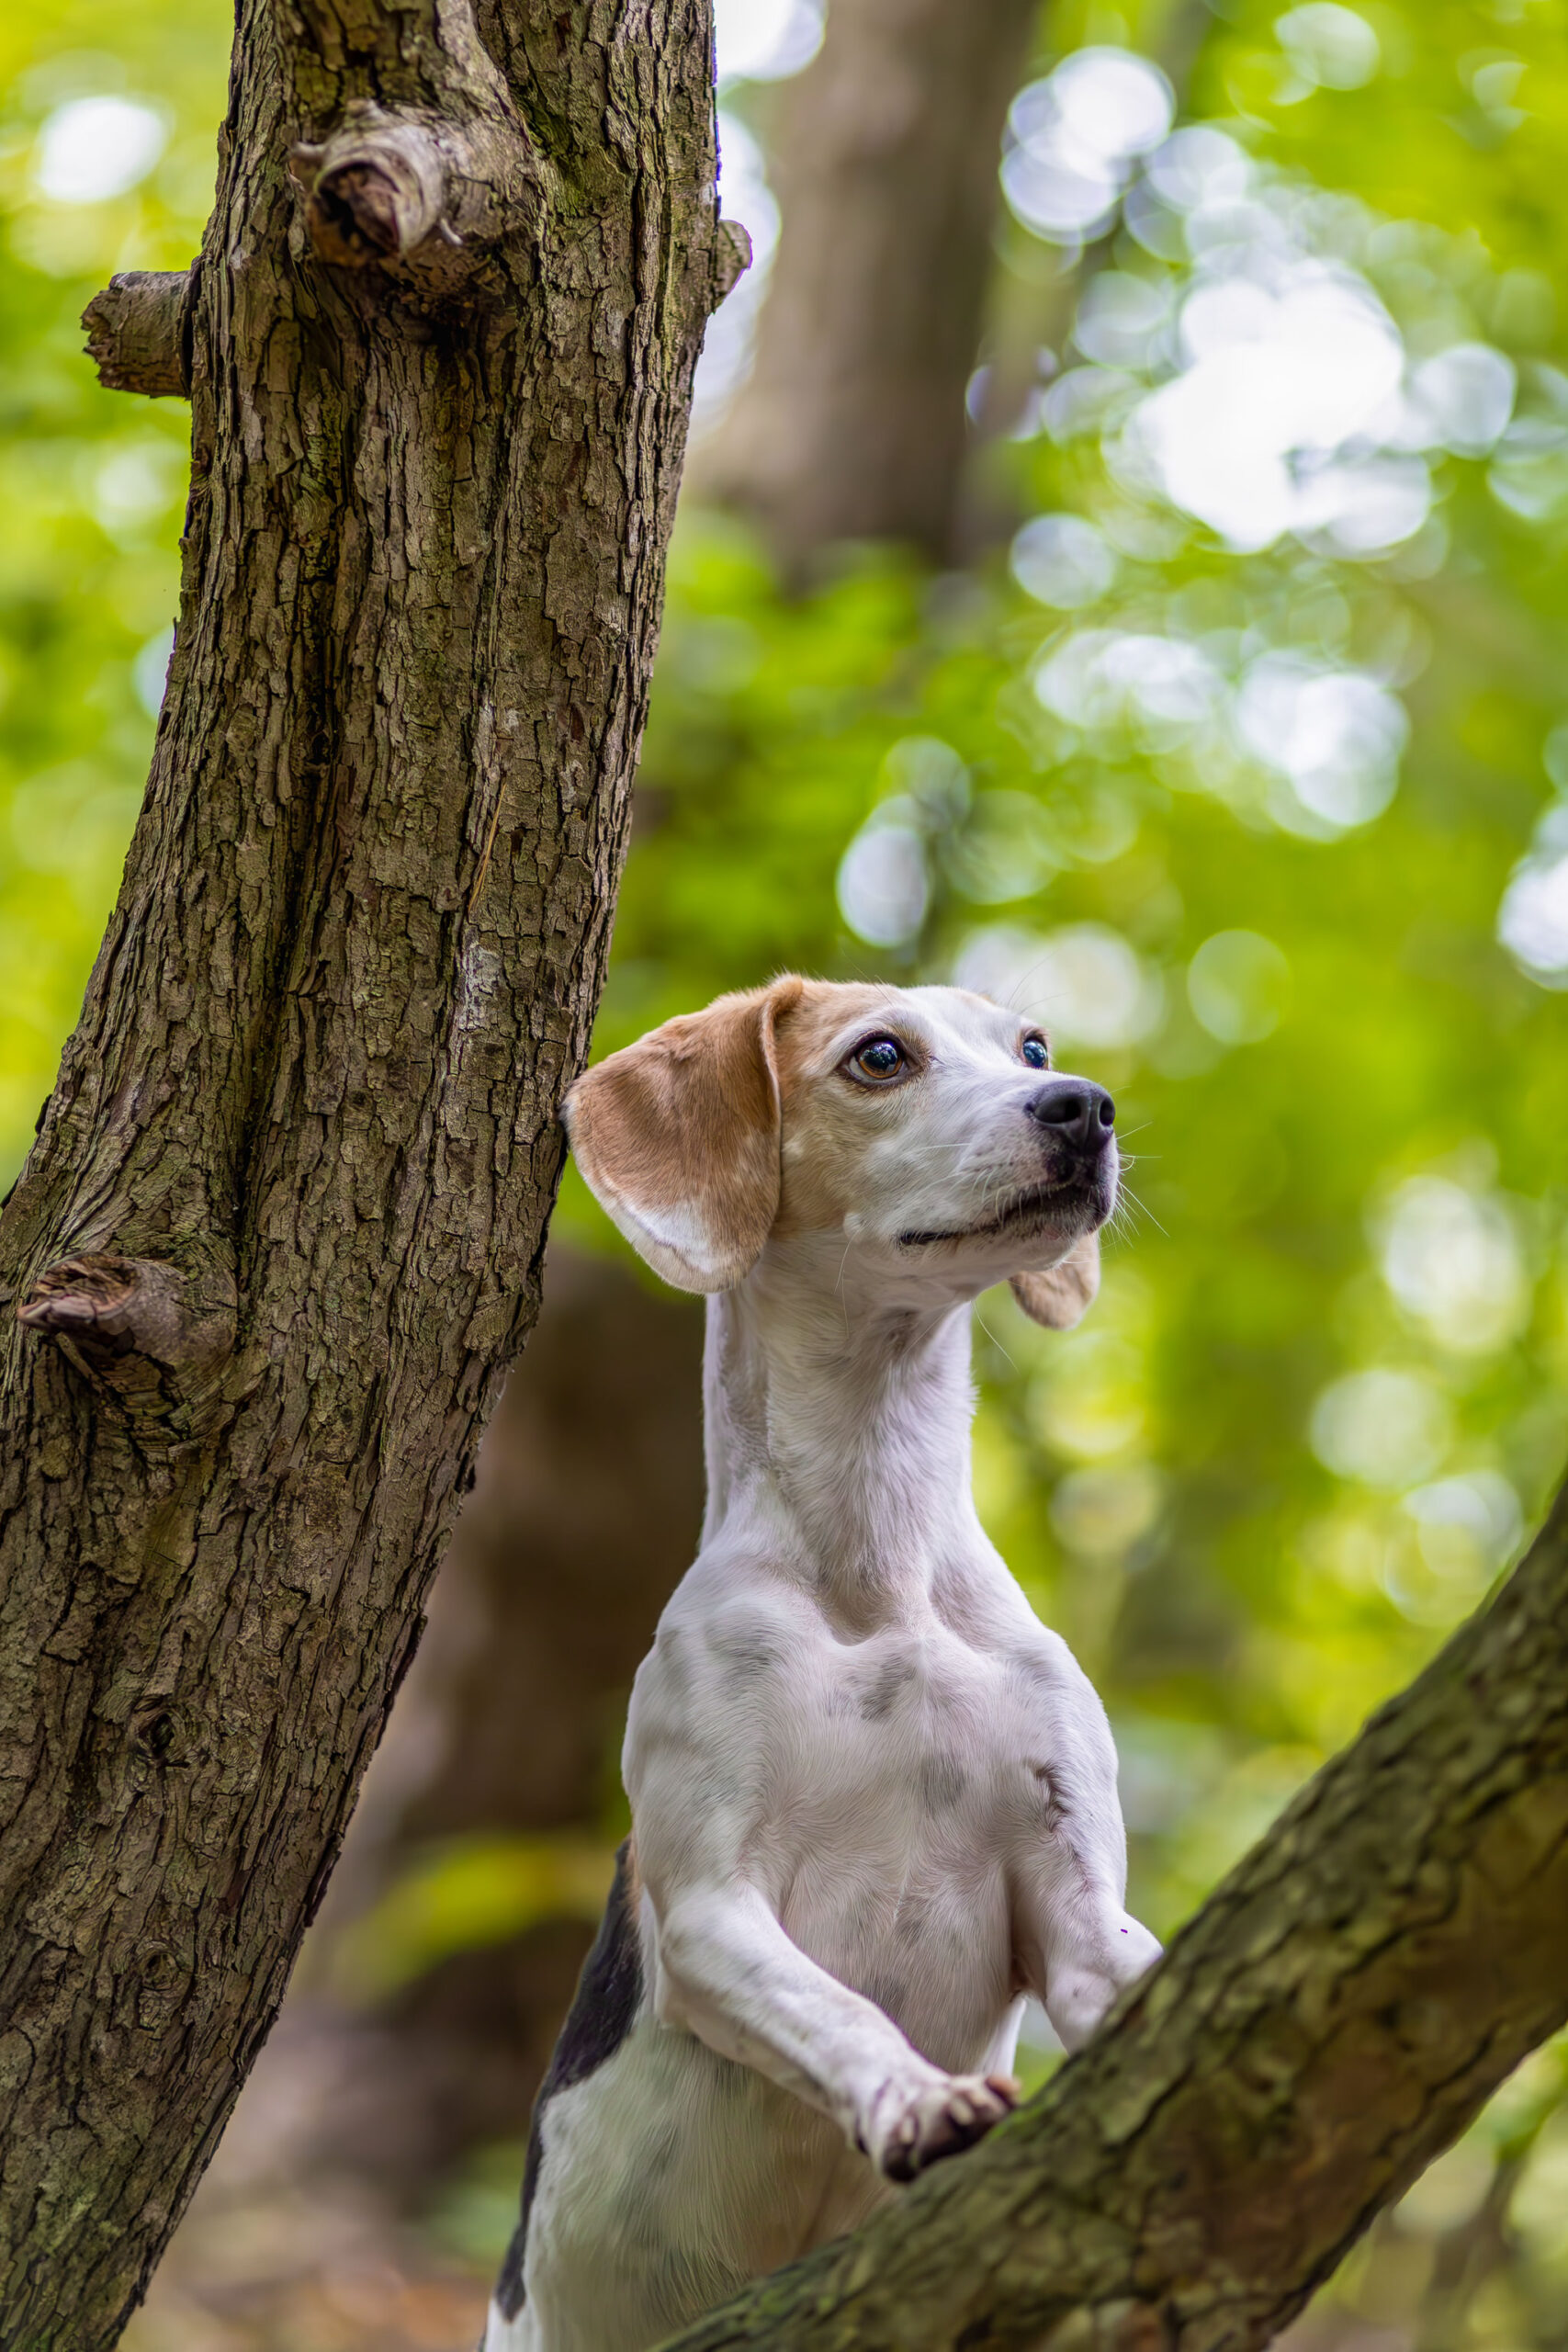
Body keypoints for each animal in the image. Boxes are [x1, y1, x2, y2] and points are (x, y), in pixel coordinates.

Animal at [484, 978, 1161, 2352]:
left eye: (1032, 1048)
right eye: (880, 1056)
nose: (1083, 1106)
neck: (879, 1563)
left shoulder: (1070, 1907)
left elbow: (1123, 1958)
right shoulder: (709, 1910)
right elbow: (845, 2008)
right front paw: (911, 2097)